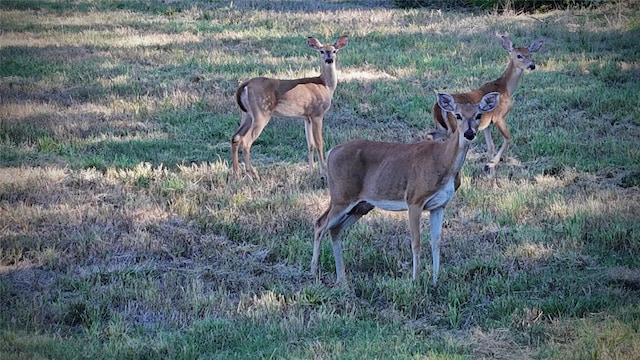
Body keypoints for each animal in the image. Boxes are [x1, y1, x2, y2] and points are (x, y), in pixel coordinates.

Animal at [231, 35, 350, 179]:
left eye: (334, 51)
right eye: (321, 51)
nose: (329, 59)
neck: (325, 85)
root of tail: (245, 85)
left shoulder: (307, 117)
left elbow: (310, 144)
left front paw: (311, 172)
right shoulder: (317, 113)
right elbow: (319, 143)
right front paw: (324, 172)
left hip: (247, 114)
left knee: (236, 137)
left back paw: (236, 173)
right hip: (262, 112)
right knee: (246, 141)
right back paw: (253, 174)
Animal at [312, 91, 502, 286]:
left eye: (478, 115)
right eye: (458, 115)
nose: (469, 133)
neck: (443, 161)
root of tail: (331, 152)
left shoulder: (439, 205)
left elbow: (436, 242)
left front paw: (435, 281)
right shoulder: (414, 199)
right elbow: (416, 243)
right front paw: (415, 280)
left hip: (361, 205)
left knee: (334, 229)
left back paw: (341, 278)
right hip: (342, 195)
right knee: (320, 224)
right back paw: (314, 271)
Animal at [432, 35, 544, 176]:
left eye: (530, 54)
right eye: (519, 55)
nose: (532, 65)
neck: (506, 87)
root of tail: (437, 107)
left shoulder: (486, 124)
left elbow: (491, 146)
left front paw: (491, 174)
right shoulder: (498, 117)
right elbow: (508, 138)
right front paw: (490, 165)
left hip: (443, 128)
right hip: (456, 128)